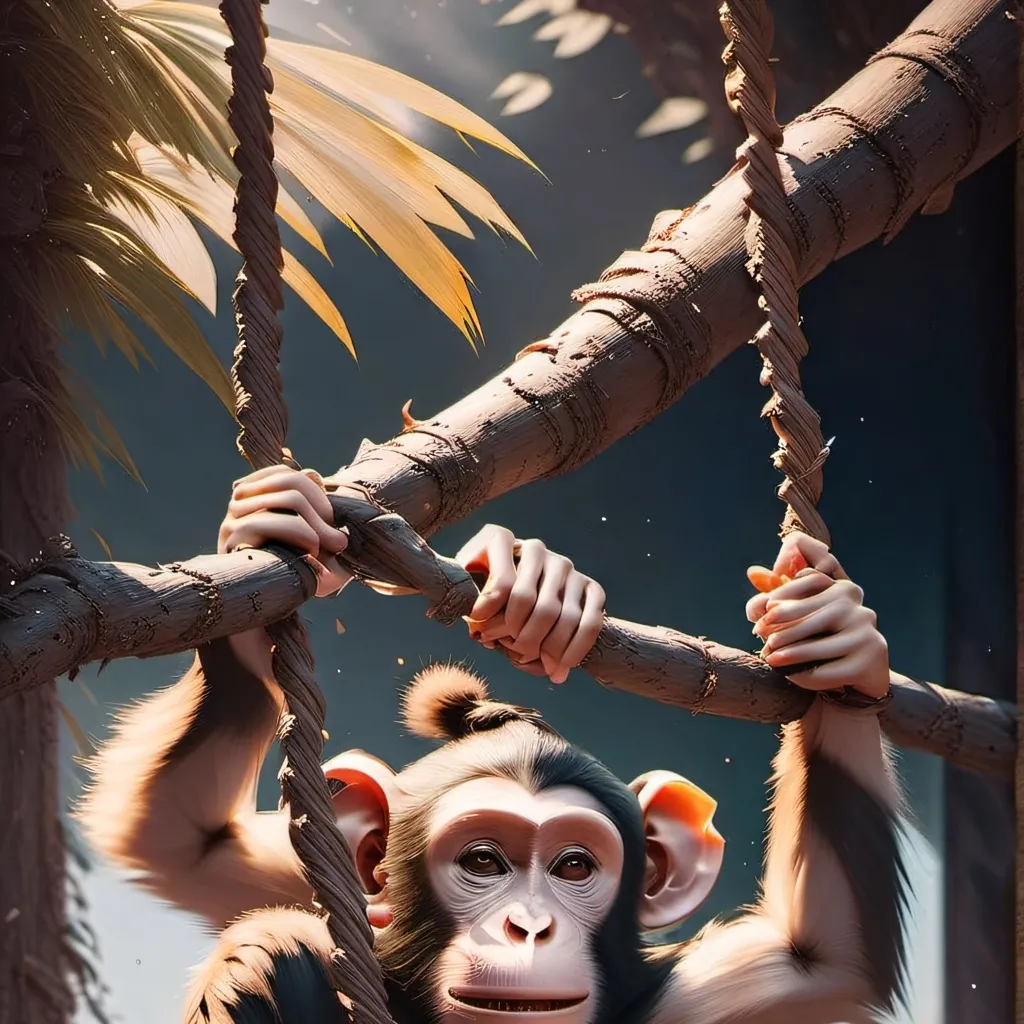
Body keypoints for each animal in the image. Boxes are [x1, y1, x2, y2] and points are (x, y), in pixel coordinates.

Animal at [78, 465, 908, 1024]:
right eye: (483, 863)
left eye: (575, 867)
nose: (529, 926)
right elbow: (189, 845)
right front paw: (268, 532)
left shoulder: (705, 999)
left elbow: (819, 959)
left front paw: (837, 645)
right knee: (267, 944)